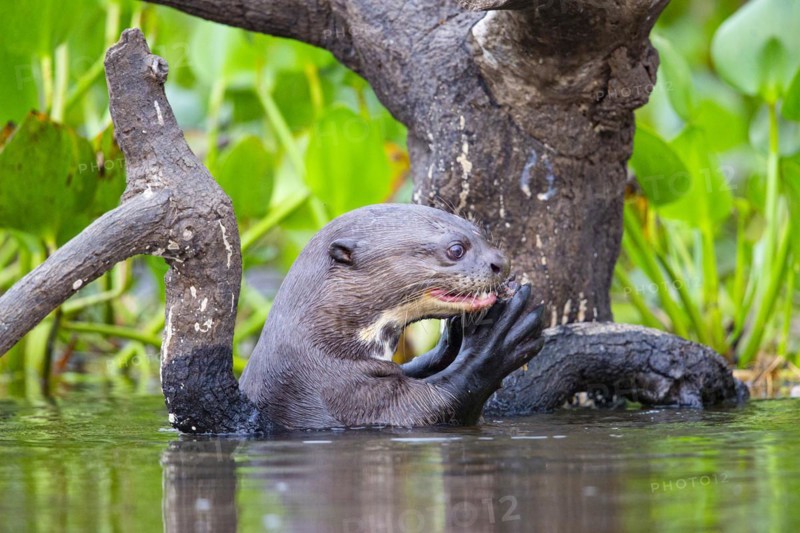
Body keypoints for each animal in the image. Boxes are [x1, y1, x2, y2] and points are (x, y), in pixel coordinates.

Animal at [239, 204, 545, 429]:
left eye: (479, 231)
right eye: (456, 249)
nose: (502, 262)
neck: (321, 351)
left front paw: (450, 341)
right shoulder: (345, 397)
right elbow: (434, 406)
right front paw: (496, 340)